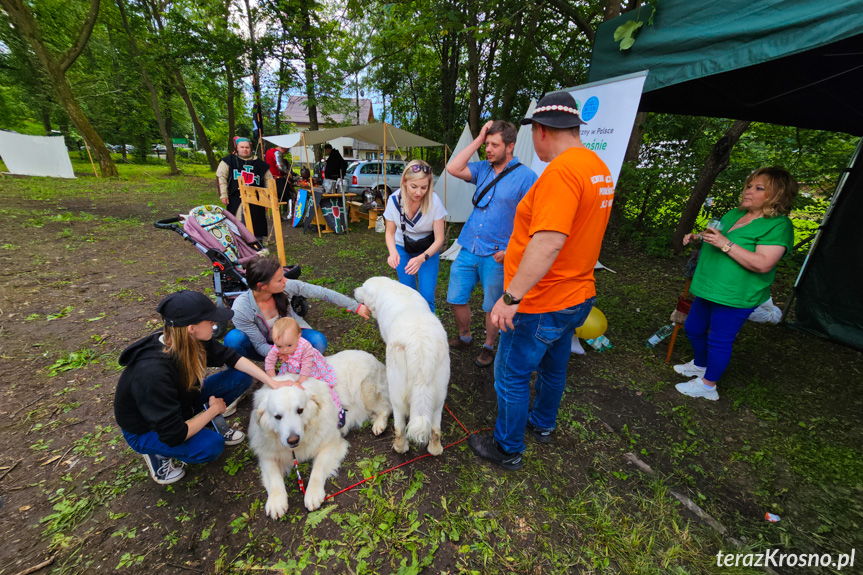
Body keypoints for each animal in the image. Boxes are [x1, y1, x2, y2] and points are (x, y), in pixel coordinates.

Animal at [246, 348, 388, 520]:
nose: (293, 440)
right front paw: (276, 502)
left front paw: (312, 494)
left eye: (300, 410)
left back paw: (379, 424)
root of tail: (373, 358)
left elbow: (318, 469)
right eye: (277, 416)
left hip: (368, 393)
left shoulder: (330, 443)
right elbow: (274, 478)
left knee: (387, 407)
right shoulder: (267, 455)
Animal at [358, 276, 452, 456]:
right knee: (435, 427)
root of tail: (421, 347)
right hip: (439, 392)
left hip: (396, 390)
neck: (386, 287)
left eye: (363, 288)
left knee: (399, 426)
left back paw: (400, 447)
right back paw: (435, 449)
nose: (354, 291)